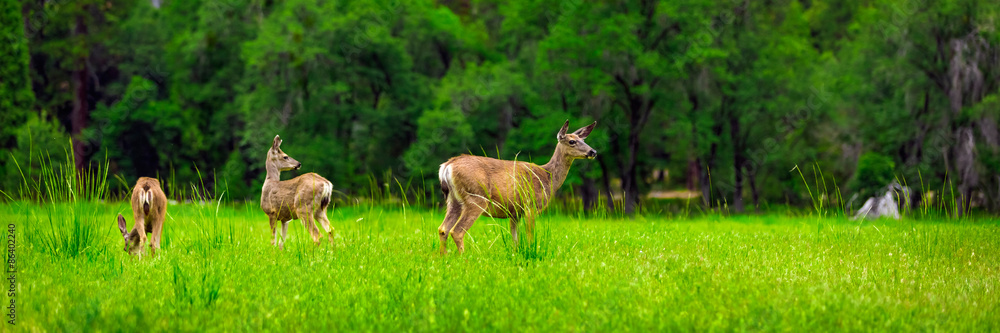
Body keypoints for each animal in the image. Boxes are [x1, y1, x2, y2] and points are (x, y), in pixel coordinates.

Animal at [436, 120, 592, 253]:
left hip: (453, 200)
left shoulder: (514, 212)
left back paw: (444, 257)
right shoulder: (531, 205)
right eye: (572, 141)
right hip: (476, 198)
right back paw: (464, 258)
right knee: (457, 231)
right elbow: (530, 234)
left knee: (443, 229)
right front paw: (531, 251)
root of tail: (447, 166)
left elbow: (515, 239)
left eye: (584, 140)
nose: (593, 152)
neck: (548, 177)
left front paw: (516, 254)